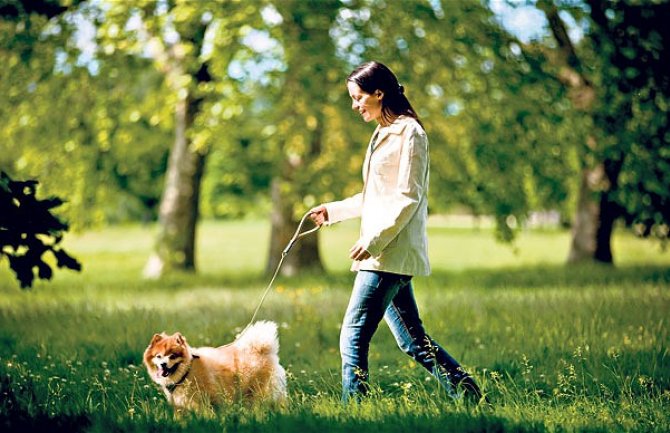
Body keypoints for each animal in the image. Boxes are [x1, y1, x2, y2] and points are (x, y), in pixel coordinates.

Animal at [143, 320, 288, 408]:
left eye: (172, 356)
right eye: (158, 356)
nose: (163, 364)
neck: (187, 371)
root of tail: (264, 350)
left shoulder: (202, 402)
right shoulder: (180, 406)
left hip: (260, 394)